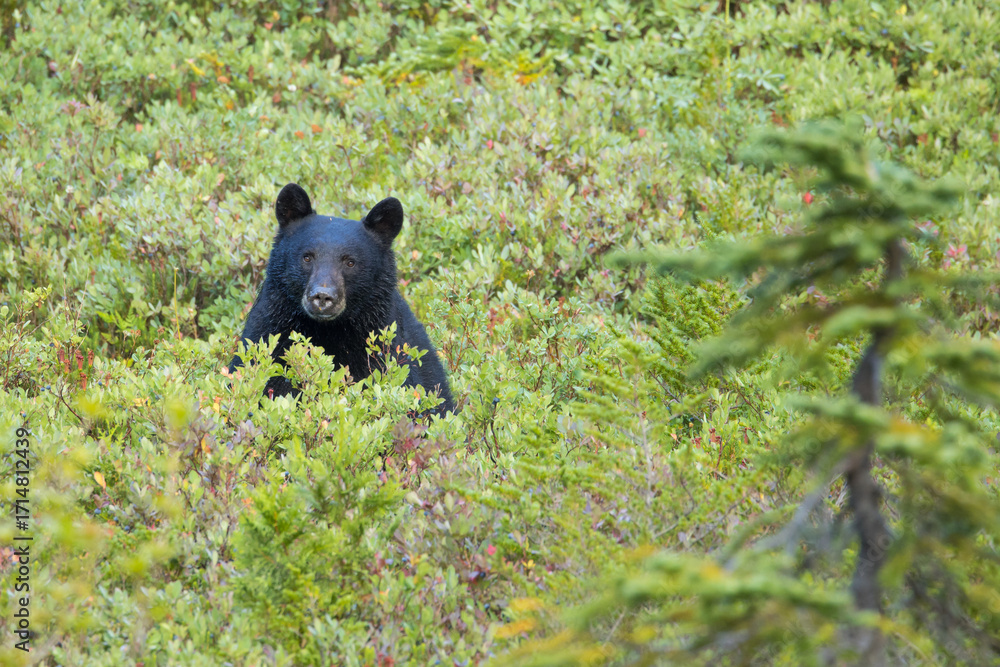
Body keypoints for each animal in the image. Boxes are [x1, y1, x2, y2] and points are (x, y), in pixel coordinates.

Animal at [229, 183, 455, 415]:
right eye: (307, 257)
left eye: (350, 262)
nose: (322, 296)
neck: (328, 331)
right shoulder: (268, 337)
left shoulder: (383, 352)